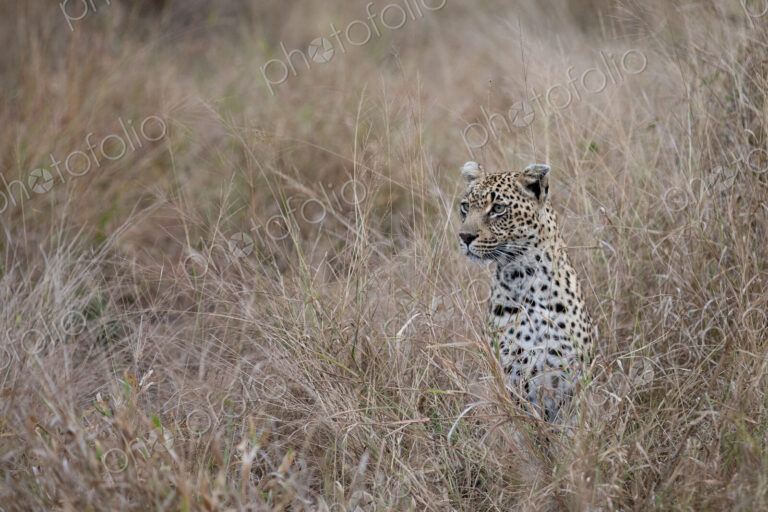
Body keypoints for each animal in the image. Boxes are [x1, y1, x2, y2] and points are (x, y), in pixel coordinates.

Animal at [457, 161, 595, 422]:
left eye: (498, 208)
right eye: (465, 207)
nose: (465, 236)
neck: (524, 276)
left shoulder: (571, 382)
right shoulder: (514, 376)